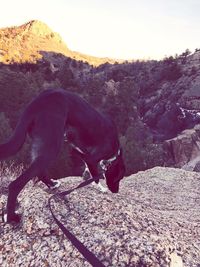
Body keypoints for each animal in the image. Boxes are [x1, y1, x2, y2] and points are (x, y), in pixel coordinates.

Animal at [0, 89, 125, 224]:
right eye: (118, 178)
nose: (116, 191)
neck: (116, 151)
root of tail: (36, 102)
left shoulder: (77, 149)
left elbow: (89, 168)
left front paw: (87, 175)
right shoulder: (90, 157)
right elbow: (95, 175)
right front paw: (100, 187)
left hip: (42, 144)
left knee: (39, 170)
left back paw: (52, 184)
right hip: (52, 145)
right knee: (16, 184)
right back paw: (11, 216)